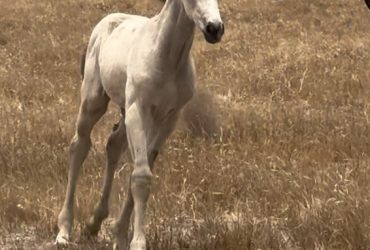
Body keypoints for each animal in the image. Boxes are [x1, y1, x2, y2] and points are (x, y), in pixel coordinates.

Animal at [55, 0, 223, 249]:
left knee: (113, 145)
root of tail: (107, 21)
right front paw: (137, 242)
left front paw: (120, 234)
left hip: (125, 112)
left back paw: (94, 223)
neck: (167, 58)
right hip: (94, 101)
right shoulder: (138, 110)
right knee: (79, 146)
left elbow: (140, 171)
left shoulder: (168, 118)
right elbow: (141, 176)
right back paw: (65, 230)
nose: (215, 29)